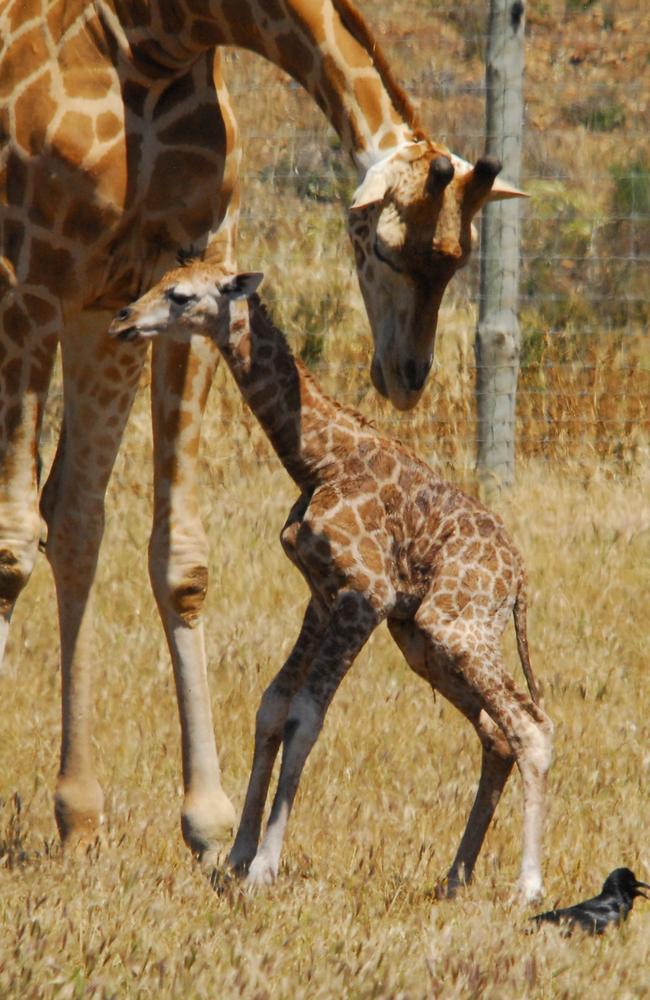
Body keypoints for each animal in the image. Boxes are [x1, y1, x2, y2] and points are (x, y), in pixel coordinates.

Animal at [0, 0, 520, 868]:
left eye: (460, 256)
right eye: (381, 245)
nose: (407, 375)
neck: (155, 40)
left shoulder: (158, 278)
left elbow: (177, 557)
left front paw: (209, 824)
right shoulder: (30, 276)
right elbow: (10, 543)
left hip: (97, 319)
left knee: (75, 517)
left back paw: (79, 811)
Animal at [110, 262, 552, 904]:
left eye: (181, 296)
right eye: (162, 278)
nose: (122, 319)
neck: (317, 461)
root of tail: (519, 579)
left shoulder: (366, 596)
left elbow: (305, 718)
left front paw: (265, 868)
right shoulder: (321, 595)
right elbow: (272, 706)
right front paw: (237, 857)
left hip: (454, 626)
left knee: (531, 728)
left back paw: (528, 888)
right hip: (424, 638)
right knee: (496, 734)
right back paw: (453, 877)